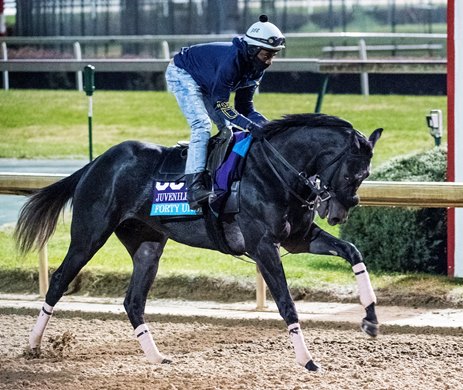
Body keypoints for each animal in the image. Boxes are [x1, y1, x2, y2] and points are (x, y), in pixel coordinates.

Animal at [15, 112, 384, 372]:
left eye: (366, 176)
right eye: (354, 173)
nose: (339, 212)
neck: (274, 171)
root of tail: (97, 162)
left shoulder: (298, 239)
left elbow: (353, 252)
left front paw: (370, 319)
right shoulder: (263, 246)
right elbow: (286, 303)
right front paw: (307, 360)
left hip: (147, 244)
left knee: (133, 301)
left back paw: (157, 357)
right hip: (89, 234)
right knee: (59, 281)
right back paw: (32, 345)